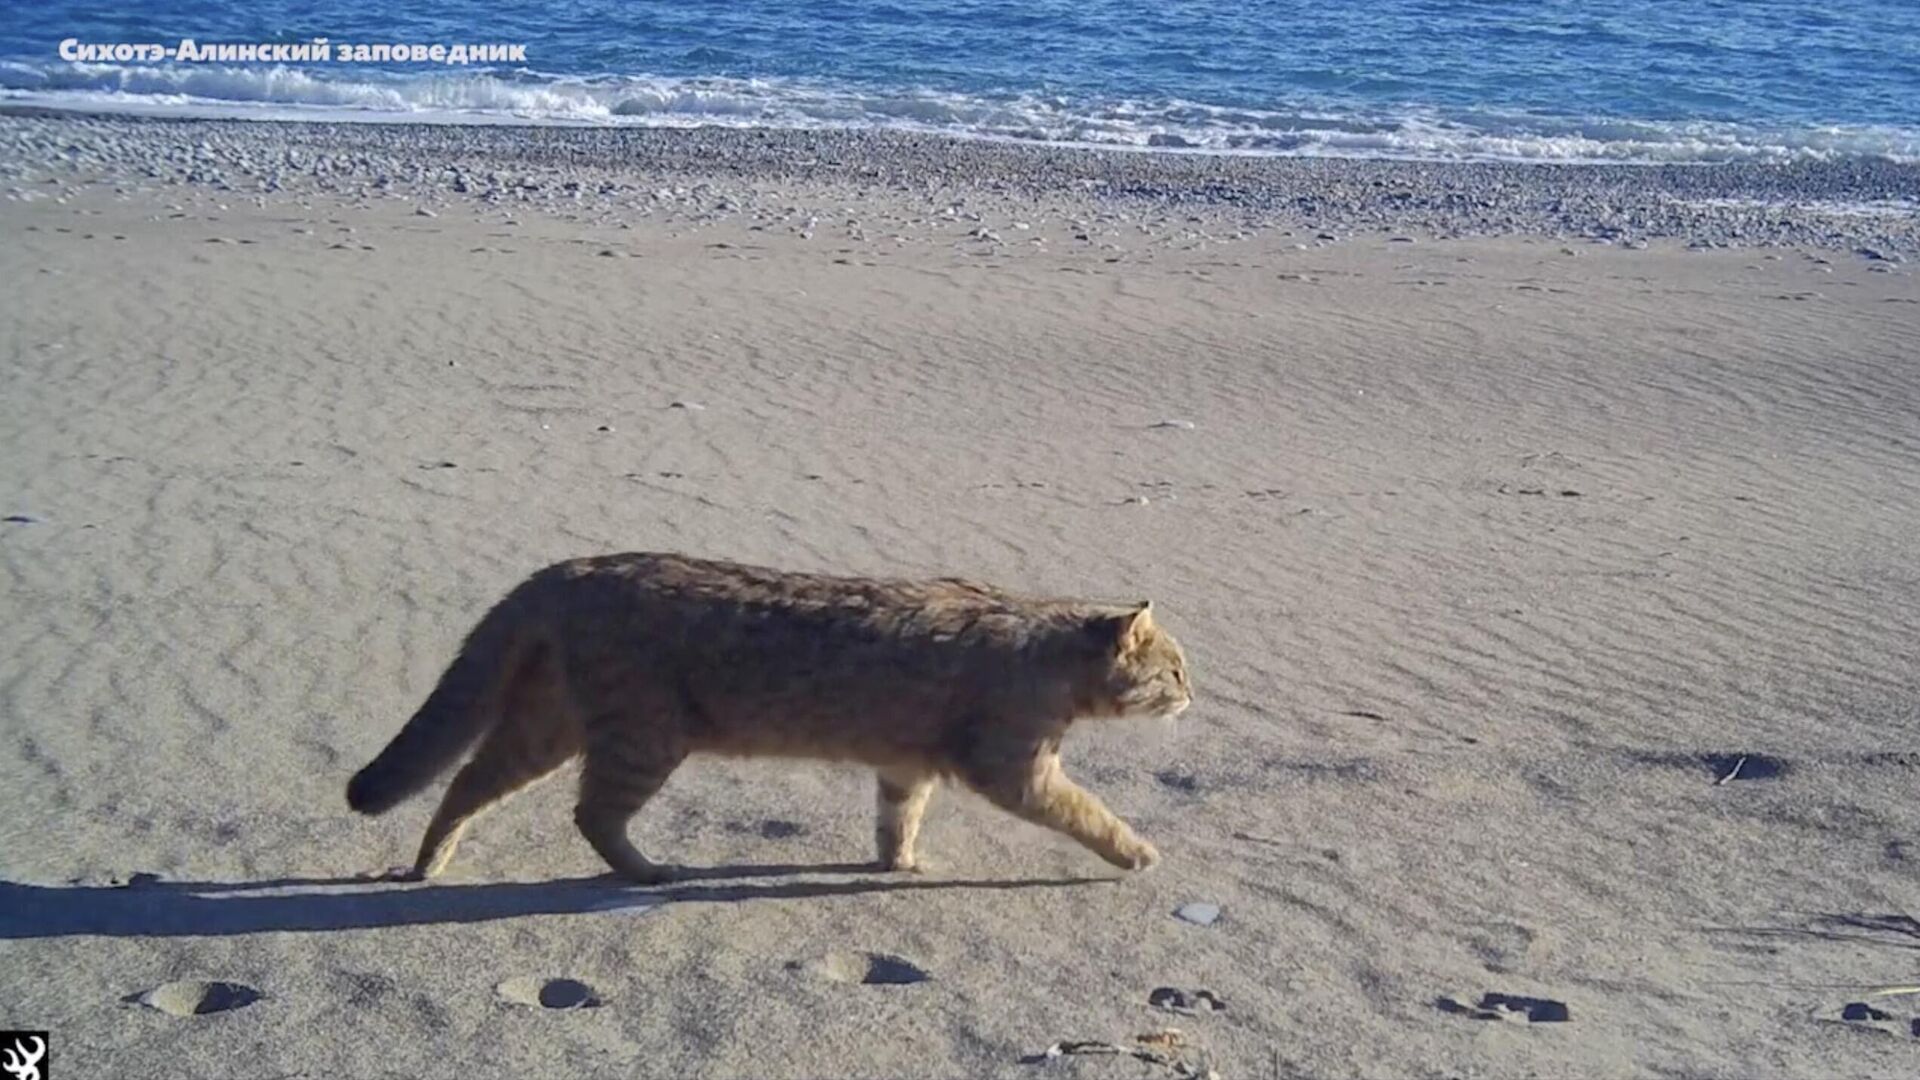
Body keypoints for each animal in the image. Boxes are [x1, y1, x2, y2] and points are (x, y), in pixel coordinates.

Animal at [343, 549, 1182, 880]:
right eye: (1175, 670)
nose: (1194, 694)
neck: (1046, 645)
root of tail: (566, 569)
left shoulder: (904, 765)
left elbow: (897, 819)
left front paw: (898, 861)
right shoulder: (1016, 769)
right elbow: (1091, 813)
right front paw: (1137, 852)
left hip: (546, 725)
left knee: (465, 784)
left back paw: (428, 862)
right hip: (642, 737)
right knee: (591, 814)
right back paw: (647, 871)